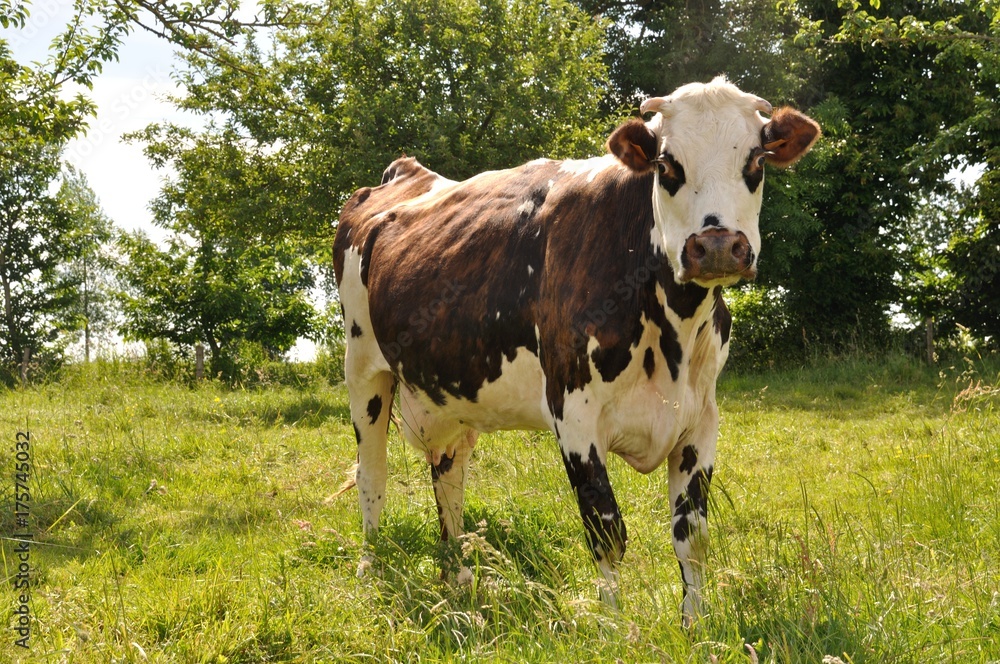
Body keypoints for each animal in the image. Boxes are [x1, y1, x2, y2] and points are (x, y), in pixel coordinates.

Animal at [332, 75, 816, 624]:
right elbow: (606, 530)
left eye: (755, 163)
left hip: (452, 392)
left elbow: (692, 537)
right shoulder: (574, 413)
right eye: (666, 165)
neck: (673, 326)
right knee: (372, 473)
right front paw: (615, 627)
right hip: (363, 370)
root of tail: (403, 173)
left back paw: (458, 575)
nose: (715, 246)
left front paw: (696, 626)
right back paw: (371, 569)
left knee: (449, 476)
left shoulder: (701, 418)